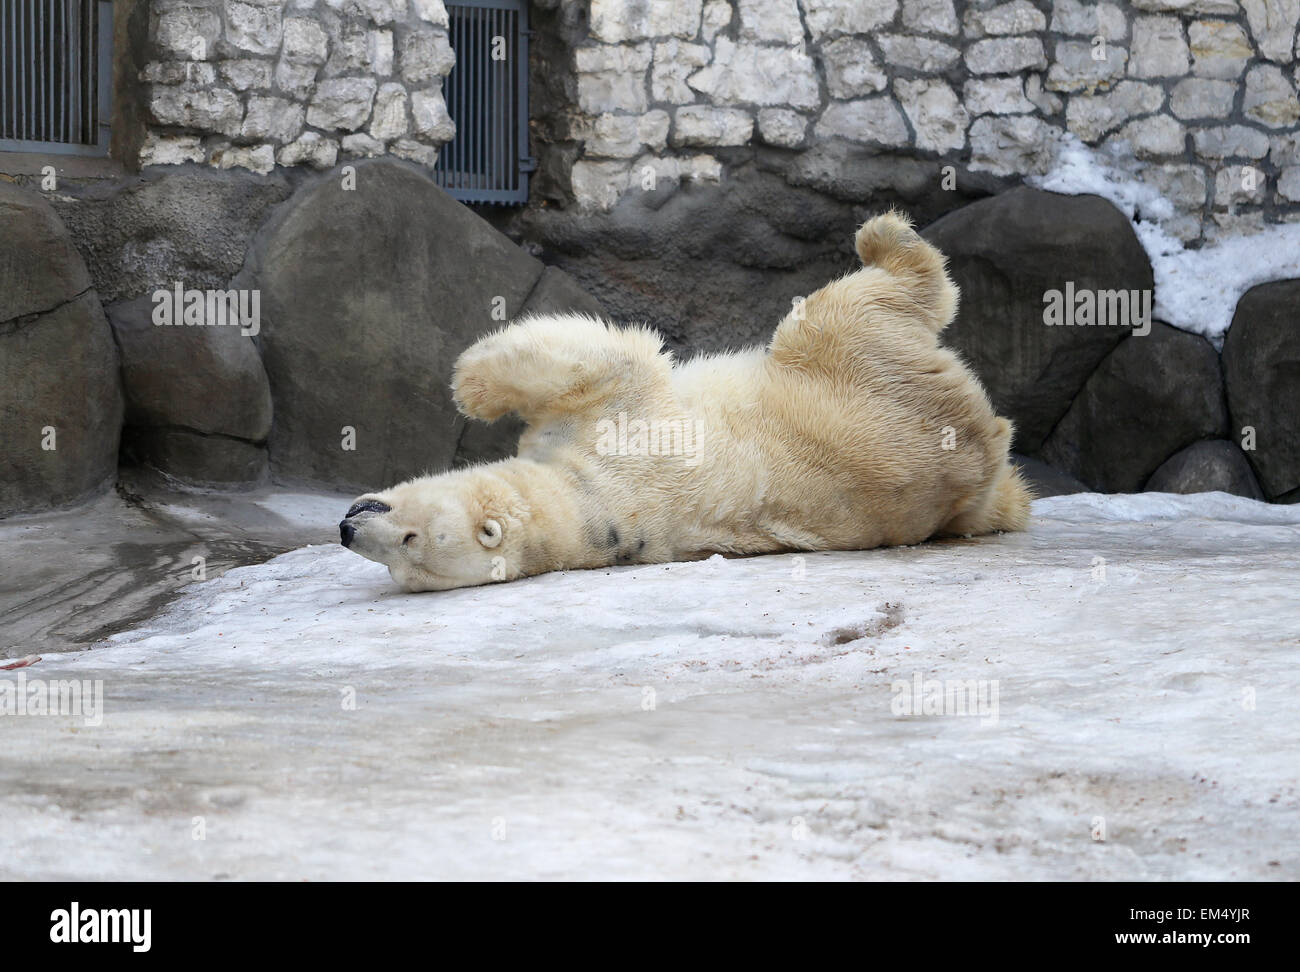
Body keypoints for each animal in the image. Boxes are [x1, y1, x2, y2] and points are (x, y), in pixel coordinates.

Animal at [340, 213, 1029, 592]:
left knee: (844, 307)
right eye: (400, 566)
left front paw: (470, 387)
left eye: (409, 540)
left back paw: (882, 236)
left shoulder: (620, 430)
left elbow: (606, 360)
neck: (586, 510)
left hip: (846, 375)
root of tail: (975, 444)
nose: (348, 528)